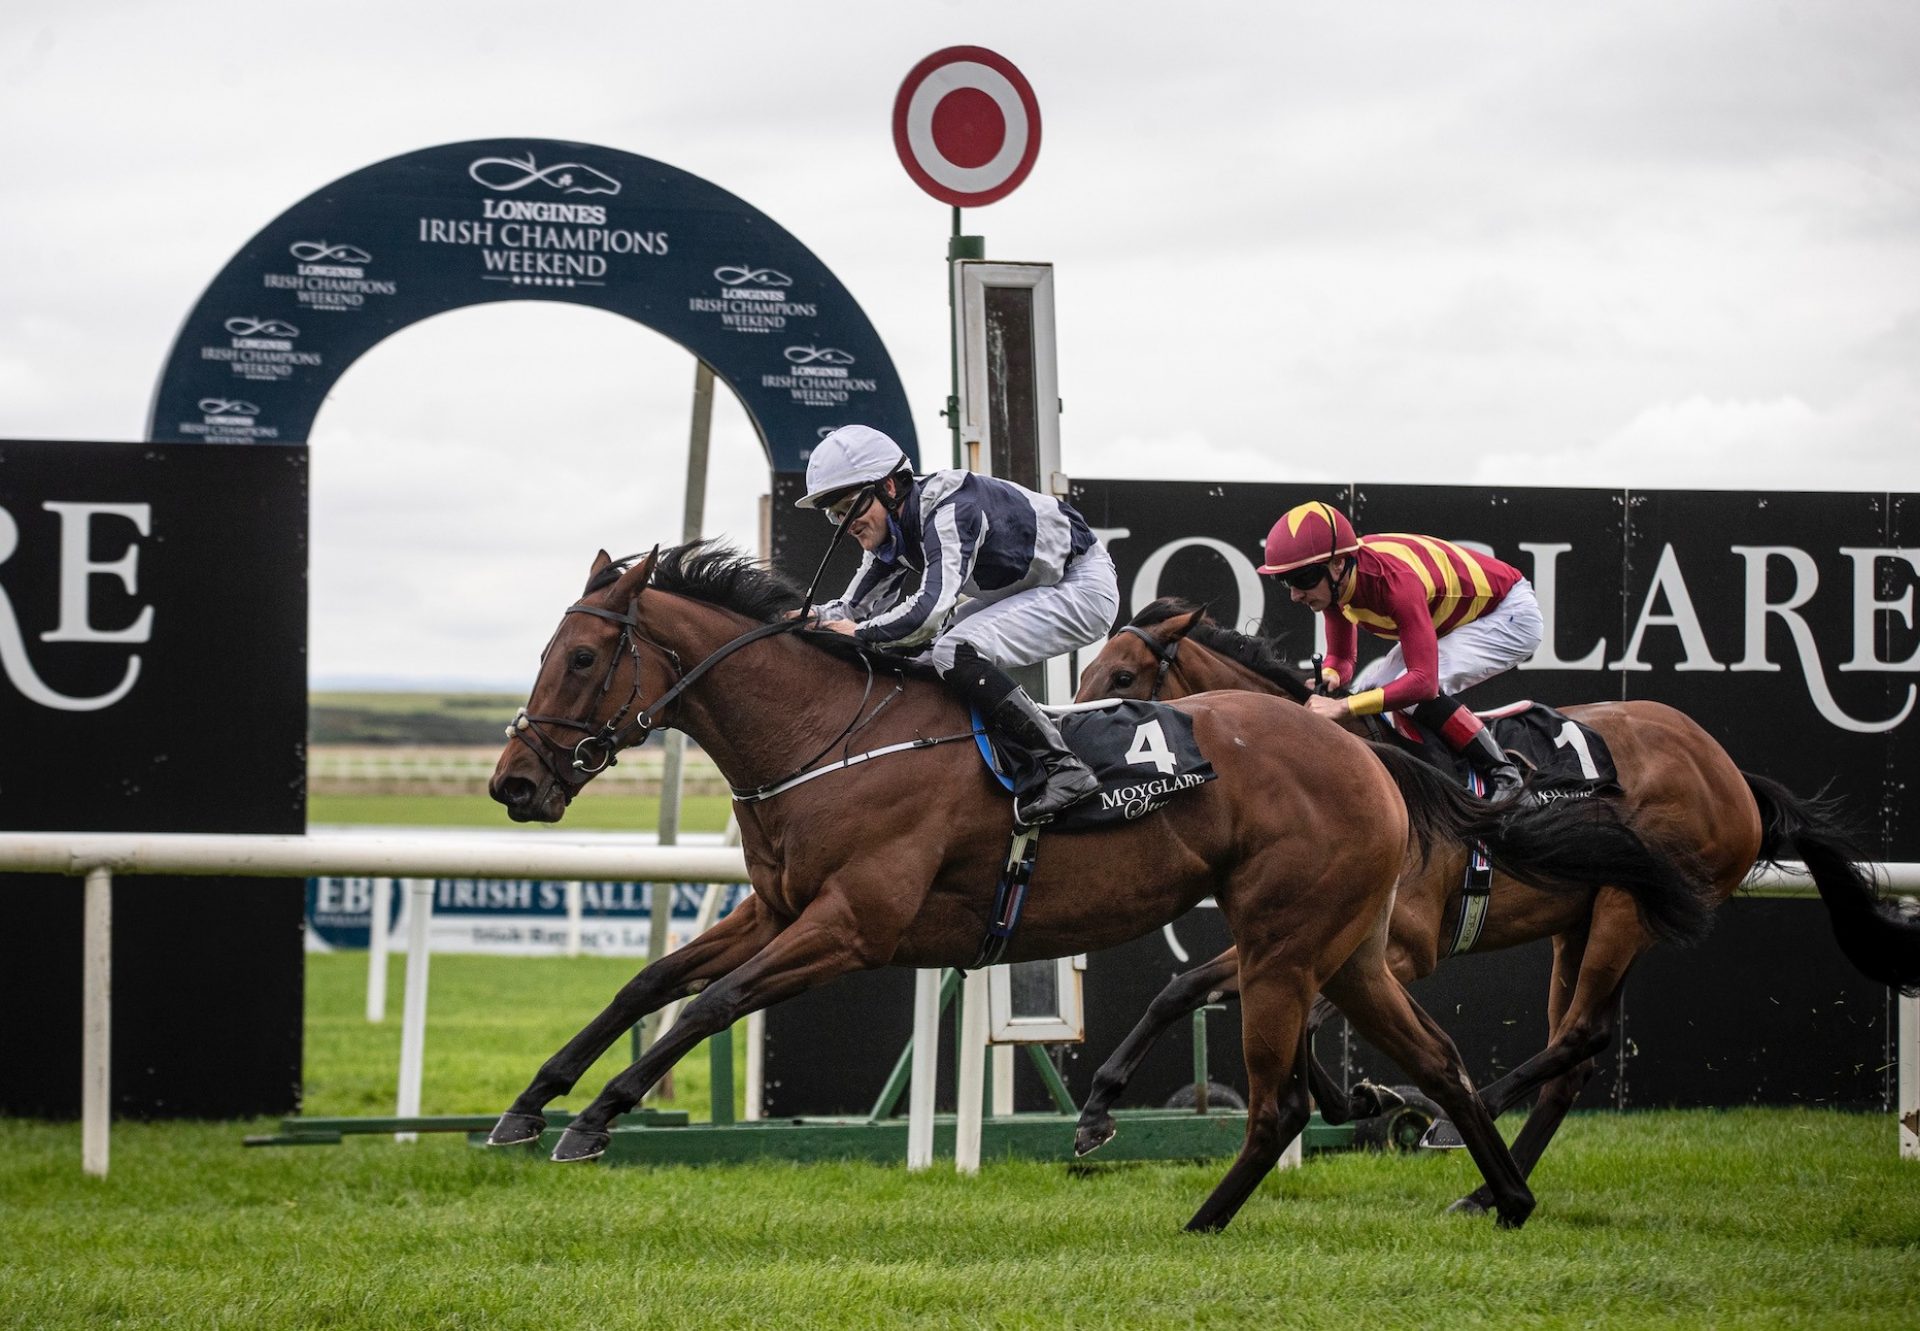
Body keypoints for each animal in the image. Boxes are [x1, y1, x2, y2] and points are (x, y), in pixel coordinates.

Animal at [480, 545, 1712, 1229]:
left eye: (581, 658)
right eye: (544, 652)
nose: (514, 781)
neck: (831, 733)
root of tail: (1365, 752)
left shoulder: (851, 924)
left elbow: (714, 1002)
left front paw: (597, 1118)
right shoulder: (778, 907)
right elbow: (647, 986)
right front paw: (529, 1102)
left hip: (1303, 939)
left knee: (1305, 1091)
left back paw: (1226, 1211)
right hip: (1350, 946)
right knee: (1443, 1061)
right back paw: (1500, 1193)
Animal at [1067, 603, 1920, 1213]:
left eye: (1123, 676)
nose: (1071, 740)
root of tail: (1732, 773)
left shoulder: (1399, 943)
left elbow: (1294, 1015)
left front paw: (1377, 1101)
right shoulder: (1325, 934)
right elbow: (1186, 988)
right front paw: (1101, 1104)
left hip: (1626, 910)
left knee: (1580, 1034)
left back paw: (1461, 1125)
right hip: (1579, 925)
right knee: (1578, 1056)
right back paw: (1486, 1188)